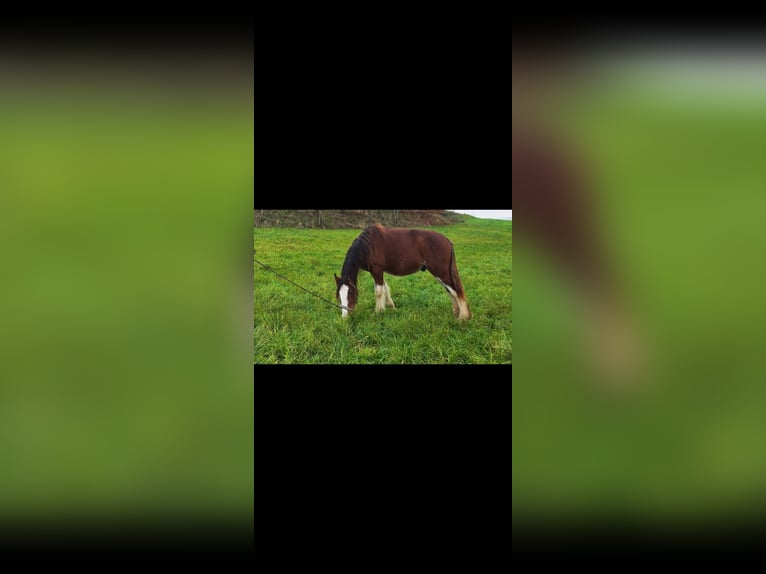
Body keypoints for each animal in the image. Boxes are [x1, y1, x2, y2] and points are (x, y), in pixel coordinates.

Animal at [332, 225, 472, 322]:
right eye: (338, 295)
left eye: (351, 293)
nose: (345, 316)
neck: (368, 246)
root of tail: (447, 240)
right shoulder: (379, 272)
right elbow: (385, 289)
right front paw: (391, 307)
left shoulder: (377, 271)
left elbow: (379, 292)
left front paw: (378, 312)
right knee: (450, 291)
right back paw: (456, 314)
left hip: (441, 272)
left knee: (455, 291)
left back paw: (462, 317)